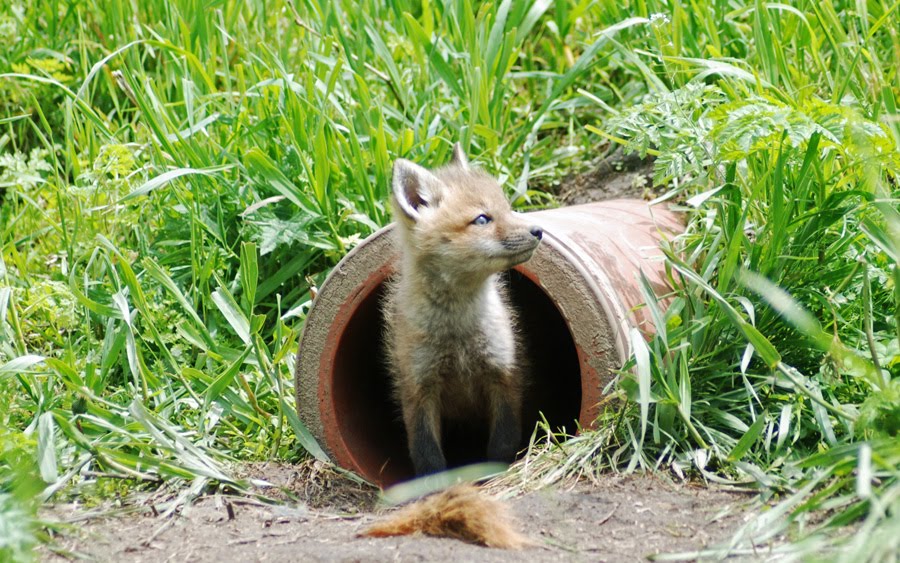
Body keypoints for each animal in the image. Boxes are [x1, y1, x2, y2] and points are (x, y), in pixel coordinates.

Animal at [383, 143, 543, 477]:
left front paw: (495, 472)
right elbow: (427, 454)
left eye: (507, 208)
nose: (538, 230)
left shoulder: (503, 372)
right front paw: (434, 484)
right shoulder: (418, 387)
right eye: (482, 219)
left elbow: (503, 442)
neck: (457, 332)